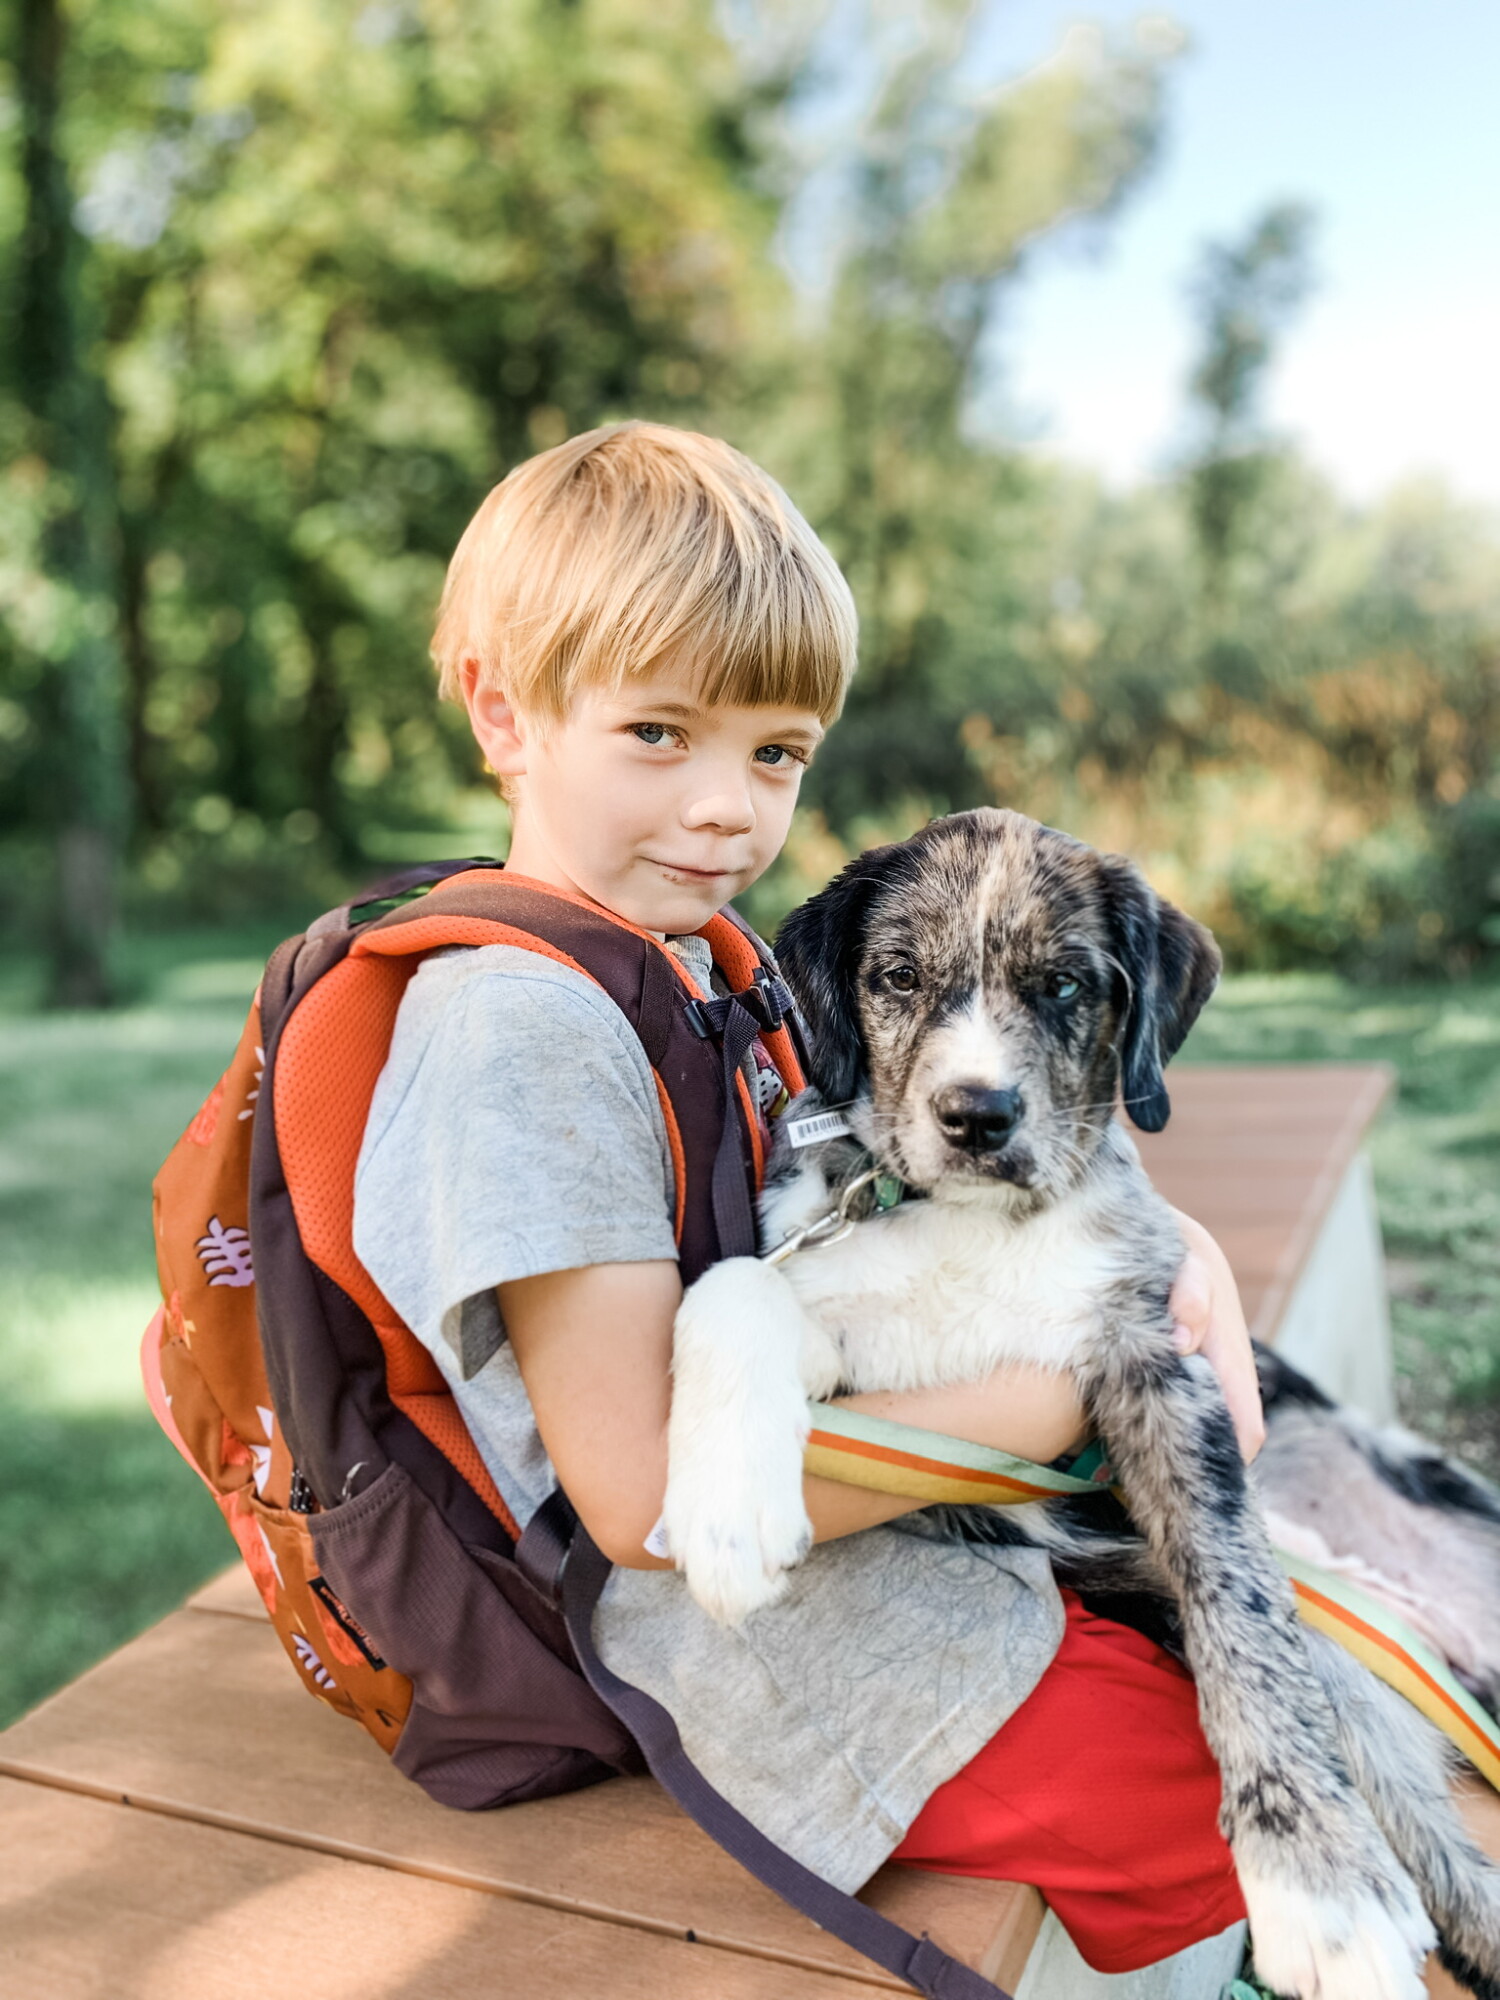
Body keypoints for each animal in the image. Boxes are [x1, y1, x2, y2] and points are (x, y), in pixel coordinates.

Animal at [668, 804, 1500, 2000]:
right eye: (898, 975)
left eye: (1064, 982)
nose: (977, 1115)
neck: (977, 1228)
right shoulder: (857, 1343)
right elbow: (732, 1285)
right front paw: (726, 1517)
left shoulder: (1159, 1363)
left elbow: (1240, 1614)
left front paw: (1318, 1891)